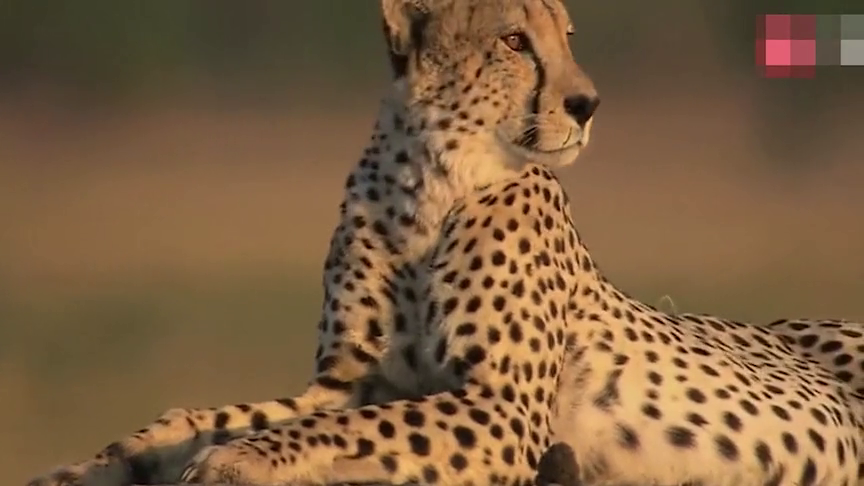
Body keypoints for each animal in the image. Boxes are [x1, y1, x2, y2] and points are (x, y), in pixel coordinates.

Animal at [25, 0, 864, 486]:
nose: (587, 103)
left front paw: (240, 459)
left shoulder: (502, 406)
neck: (426, 175)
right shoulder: (346, 379)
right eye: (515, 40)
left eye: (566, 38)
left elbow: (340, 426)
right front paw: (102, 463)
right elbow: (229, 413)